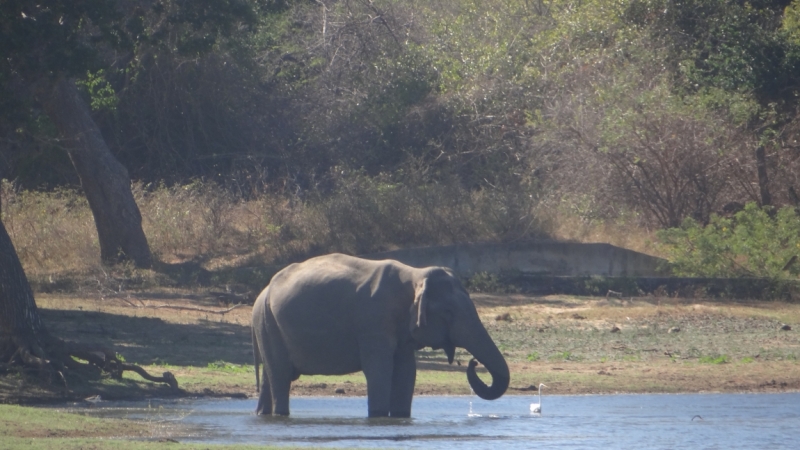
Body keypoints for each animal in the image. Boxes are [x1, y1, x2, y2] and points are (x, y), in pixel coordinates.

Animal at [252, 253, 512, 418]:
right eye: (448, 312)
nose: (472, 362)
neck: (414, 275)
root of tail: (262, 293)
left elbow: (406, 372)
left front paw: (399, 417)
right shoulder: (374, 322)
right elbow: (380, 370)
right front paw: (377, 417)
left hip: (267, 324)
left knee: (270, 375)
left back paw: (263, 414)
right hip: (268, 322)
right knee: (280, 375)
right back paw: (280, 414)